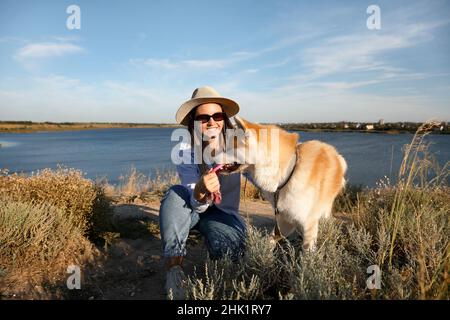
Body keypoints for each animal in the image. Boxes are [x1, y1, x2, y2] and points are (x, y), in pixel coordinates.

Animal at [223, 116, 346, 251]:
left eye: (229, 148)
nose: (211, 156)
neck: (289, 171)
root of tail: (337, 155)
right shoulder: (284, 219)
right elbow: (270, 240)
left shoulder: (308, 223)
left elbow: (307, 253)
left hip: (325, 209)